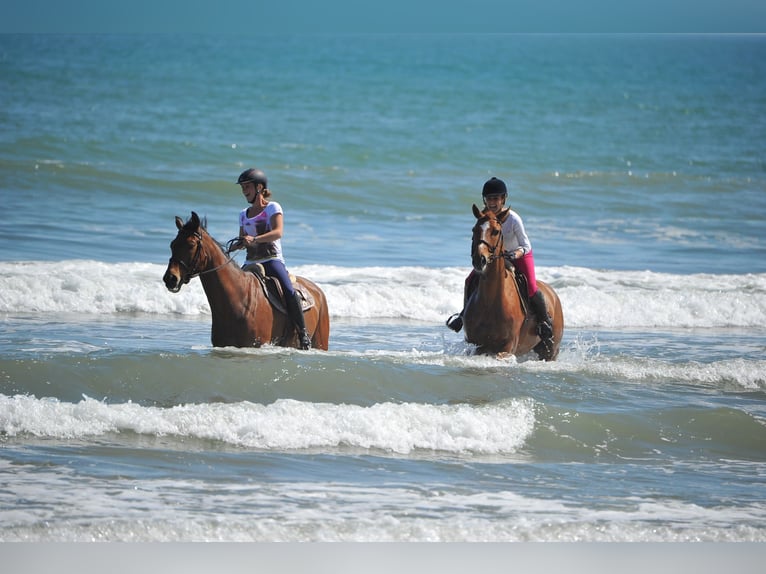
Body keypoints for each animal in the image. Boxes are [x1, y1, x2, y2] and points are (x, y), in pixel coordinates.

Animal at [162, 213, 330, 352]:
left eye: (191, 245)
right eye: (172, 244)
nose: (170, 278)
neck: (238, 300)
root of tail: (318, 291)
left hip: (320, 342)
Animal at [462, 206, 564, 360]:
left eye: (496, 231)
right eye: (474, 230)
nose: (479, 260)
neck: (490, 301)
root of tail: (553, 294)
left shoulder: (508, 346)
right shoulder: (479, 345)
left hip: (550, 350)